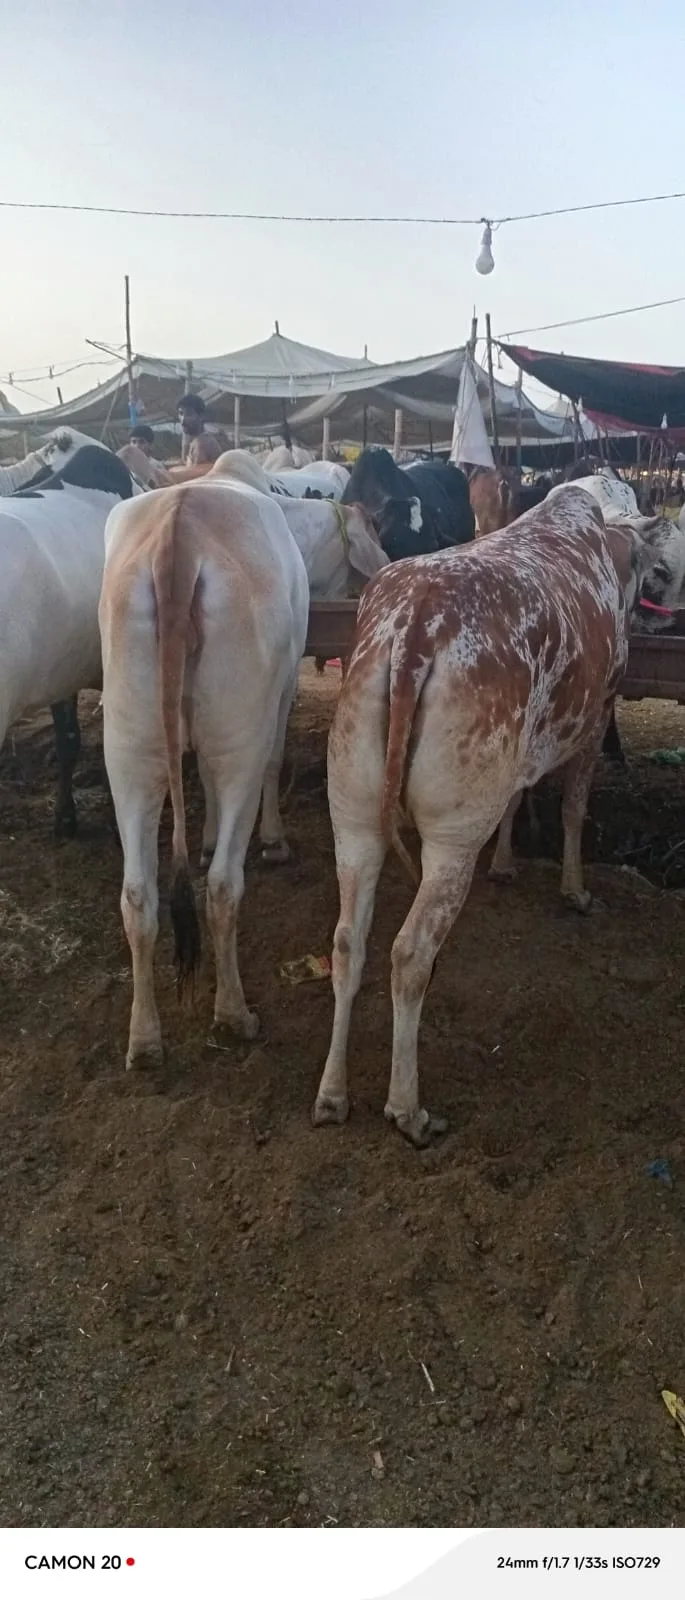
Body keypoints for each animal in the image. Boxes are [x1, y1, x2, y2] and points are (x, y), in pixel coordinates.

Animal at [99, 479, 309, 1069]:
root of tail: (179, 531)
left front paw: (211, 833)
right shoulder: (281, 692)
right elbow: (274, 759)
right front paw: (274, 840)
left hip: (128, 746)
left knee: (137, 896)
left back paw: (144, 1040)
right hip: (240, 731)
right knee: (220, 887)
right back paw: (234, 1014)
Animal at [312, 486, 656, 1148]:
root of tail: (417, 623)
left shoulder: (517, 754)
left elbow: (518, 799)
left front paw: (505, 865)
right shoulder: (597, 711)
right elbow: (574, 806)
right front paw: (574, 889)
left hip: (353, 811)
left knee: (347, 943)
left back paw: (333, 1093)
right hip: (450, 836)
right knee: (409, 953)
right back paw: (408, 1110)